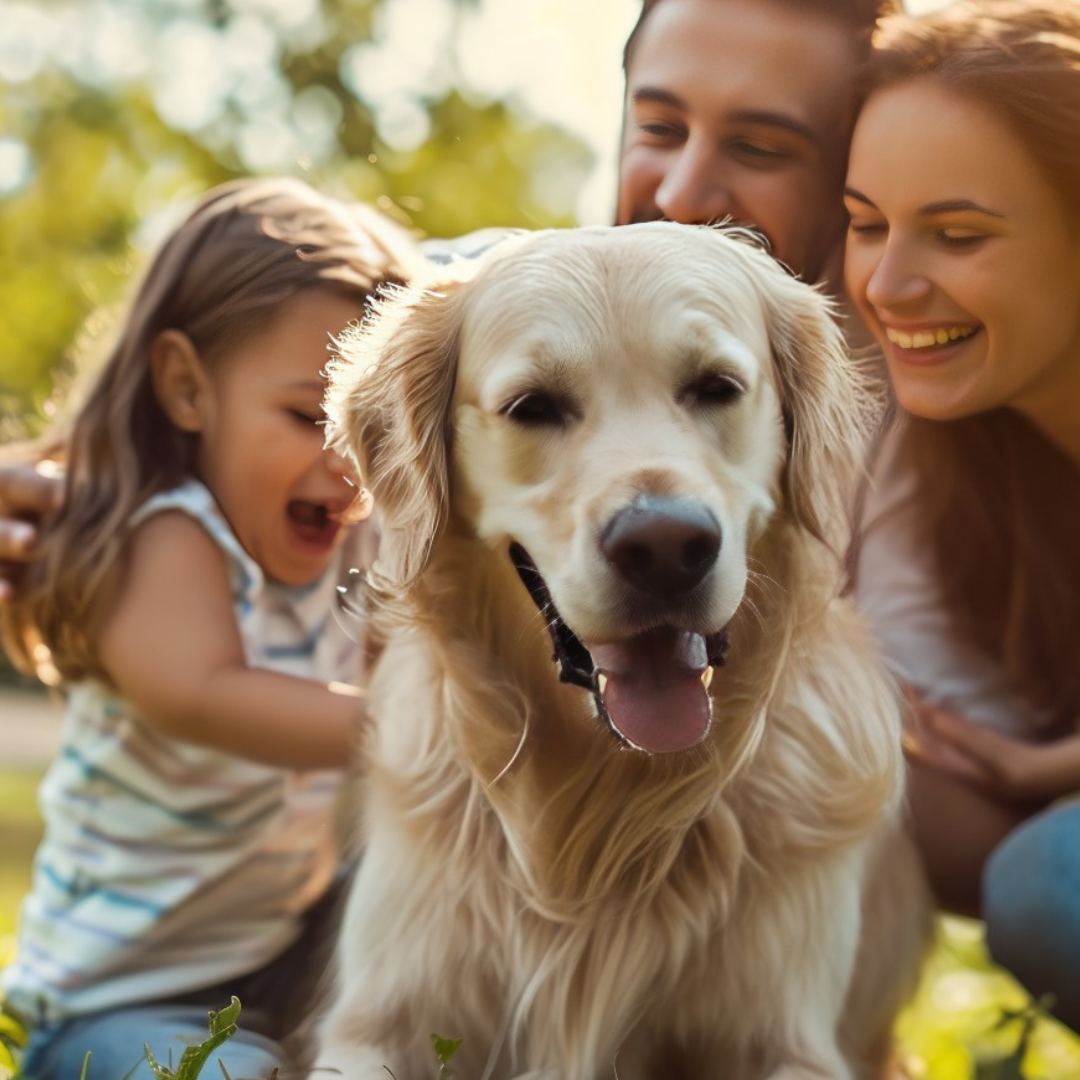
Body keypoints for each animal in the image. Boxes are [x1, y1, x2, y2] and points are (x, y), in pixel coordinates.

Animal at [313, 221, 928, 1080]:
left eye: (715, 388)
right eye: (532, 407)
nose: (666, 547)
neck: (608, 810)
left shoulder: (788, 1038)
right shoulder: (379, 1017)